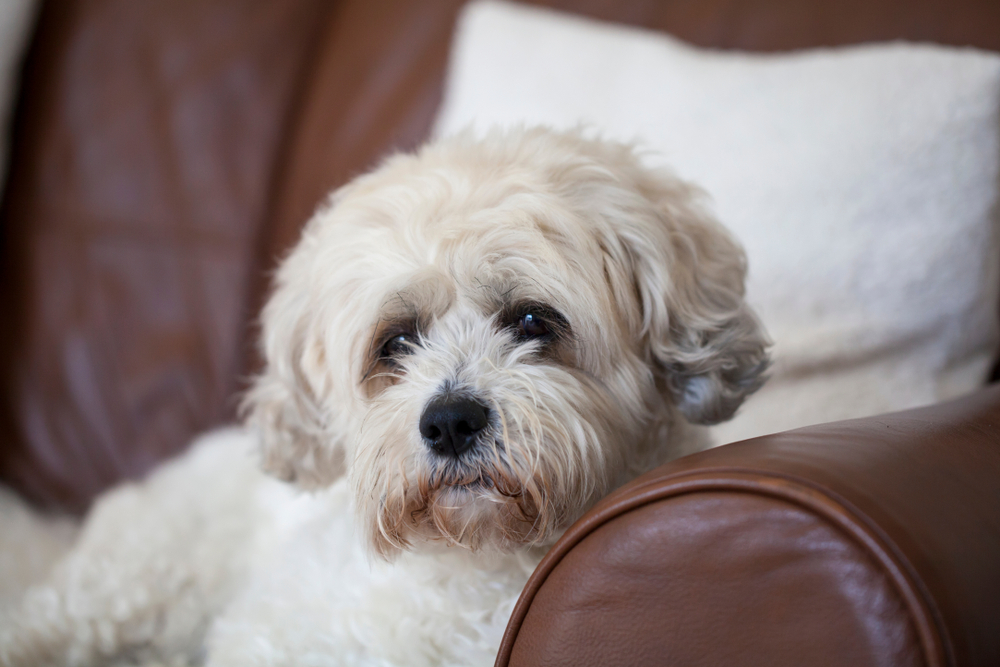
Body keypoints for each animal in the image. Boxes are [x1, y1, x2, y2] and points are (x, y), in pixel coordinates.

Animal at [0, 128, 768, 664]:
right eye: (395, 342)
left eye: (531, 321)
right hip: (128, 584)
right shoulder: (269, 634)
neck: (478, 570)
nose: (451, 422)